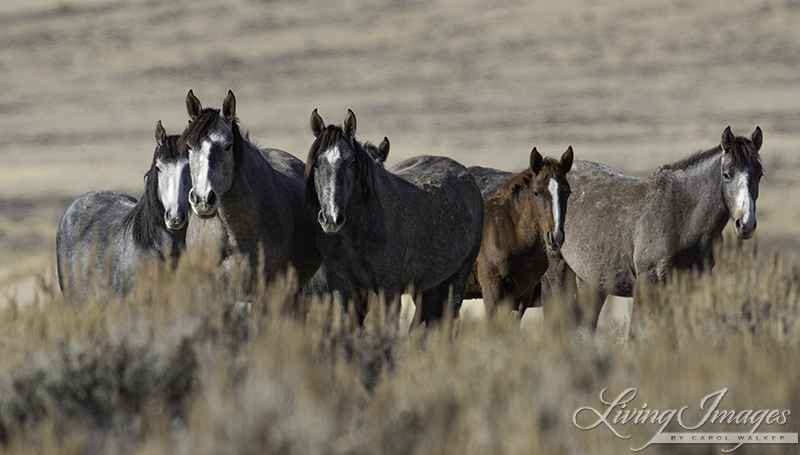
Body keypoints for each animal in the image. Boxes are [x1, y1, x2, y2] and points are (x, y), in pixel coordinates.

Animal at [304, 108, 482, 326]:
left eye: (351, 162)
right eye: (316, 163)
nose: (331, 218)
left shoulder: (388, 288)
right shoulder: (342, 286)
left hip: (458, 277)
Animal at [544, 126, 764, 330]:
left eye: (759, 175)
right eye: (727, 175)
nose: (745, 224)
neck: (681, 216)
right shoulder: (646, 283)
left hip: (590, 281)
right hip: (559, 271)